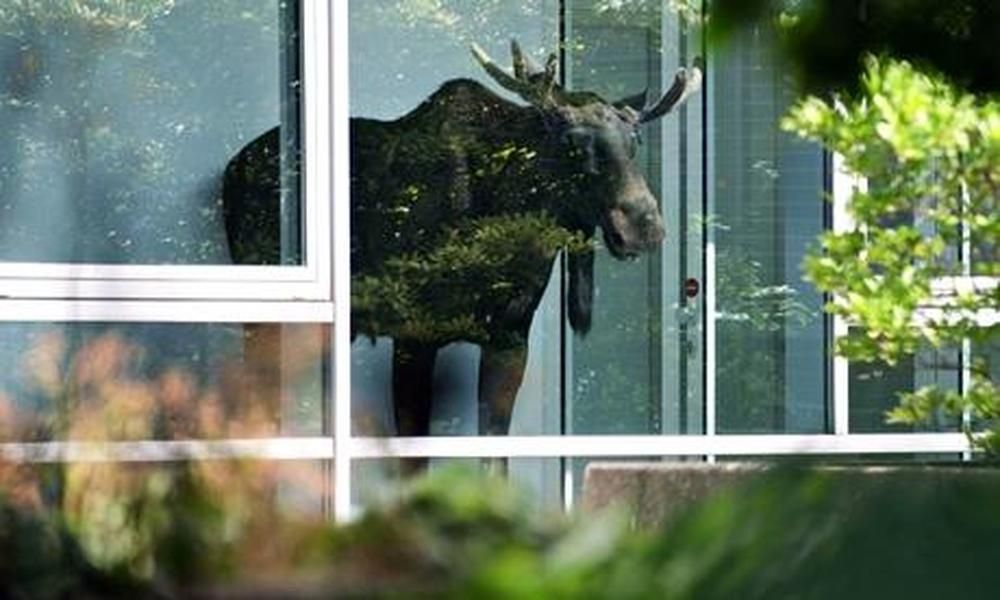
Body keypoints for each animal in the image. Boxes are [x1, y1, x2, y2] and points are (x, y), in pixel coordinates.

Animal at [223, 39, 700, 440]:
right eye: (570, 141)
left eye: (635, 141)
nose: (643, 226)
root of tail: (232, 168)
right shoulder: (414, 335)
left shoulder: (510, 338)